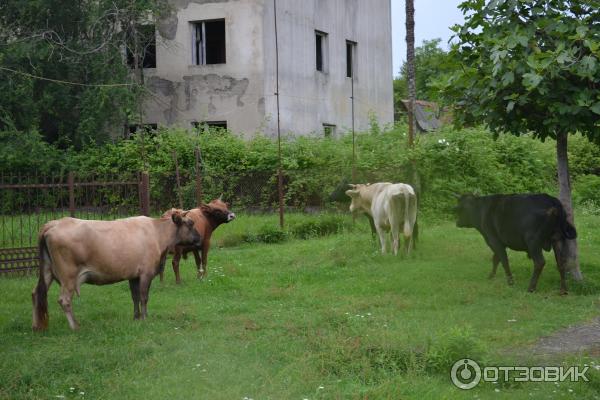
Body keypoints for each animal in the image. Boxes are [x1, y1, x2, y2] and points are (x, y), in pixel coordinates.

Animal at [32, 212, 202, 332]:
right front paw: (145, 318)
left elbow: (134, 297)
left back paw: (37, 326)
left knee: (36, 293)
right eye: (190, 223)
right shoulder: (146, 273)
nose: (200, 239)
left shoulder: (133, 275)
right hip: (68, 276)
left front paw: (136, 317)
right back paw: (75, 326)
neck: (157, 232)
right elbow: (144, 297)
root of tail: (53, 223)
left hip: (47, 271)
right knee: (64, 300)